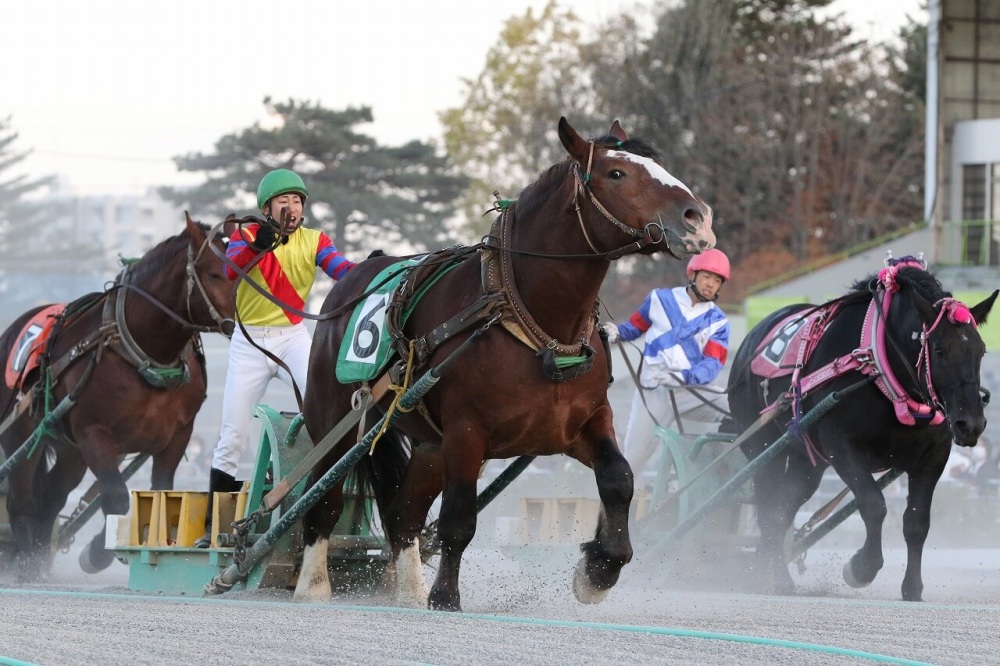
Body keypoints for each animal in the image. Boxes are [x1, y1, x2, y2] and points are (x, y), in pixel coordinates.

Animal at [0, 213, 234, 576]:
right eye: (212, 272)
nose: (242, 319)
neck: (142, 352)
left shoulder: (177, 435)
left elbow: (161, 495)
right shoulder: (94, 433)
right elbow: (116, 496)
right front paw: (98, 552)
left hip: (71, 451)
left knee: (52, 494)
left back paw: (38, 557)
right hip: (23, 432)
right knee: (22, 498)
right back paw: (25, 563)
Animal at [292, 118, 716, 608]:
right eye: (616, 173)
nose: (698, 218)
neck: (534, 322)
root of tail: (351, 279)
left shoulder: (583, 422)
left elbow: (619, 478)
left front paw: (601, 568)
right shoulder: (466, 431)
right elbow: (459, 518)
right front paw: (446, 596)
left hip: (430, 446)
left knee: (403, 514)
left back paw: (409, 590)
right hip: (333, 419)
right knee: (322, 498)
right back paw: (313, 585)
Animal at [732, 260, 996, 600]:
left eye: (981, 351)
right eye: (939, 350)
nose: (970, 423)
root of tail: (750, 339)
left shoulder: (933, 456)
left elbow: (916, 521)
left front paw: (912, 587)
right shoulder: (842, 447)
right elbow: (873, 504)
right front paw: (861, 567)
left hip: (807, 460)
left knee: (785, 504)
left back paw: (775, 574)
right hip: (763, 448)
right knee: (769, 504)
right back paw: (769, 576)